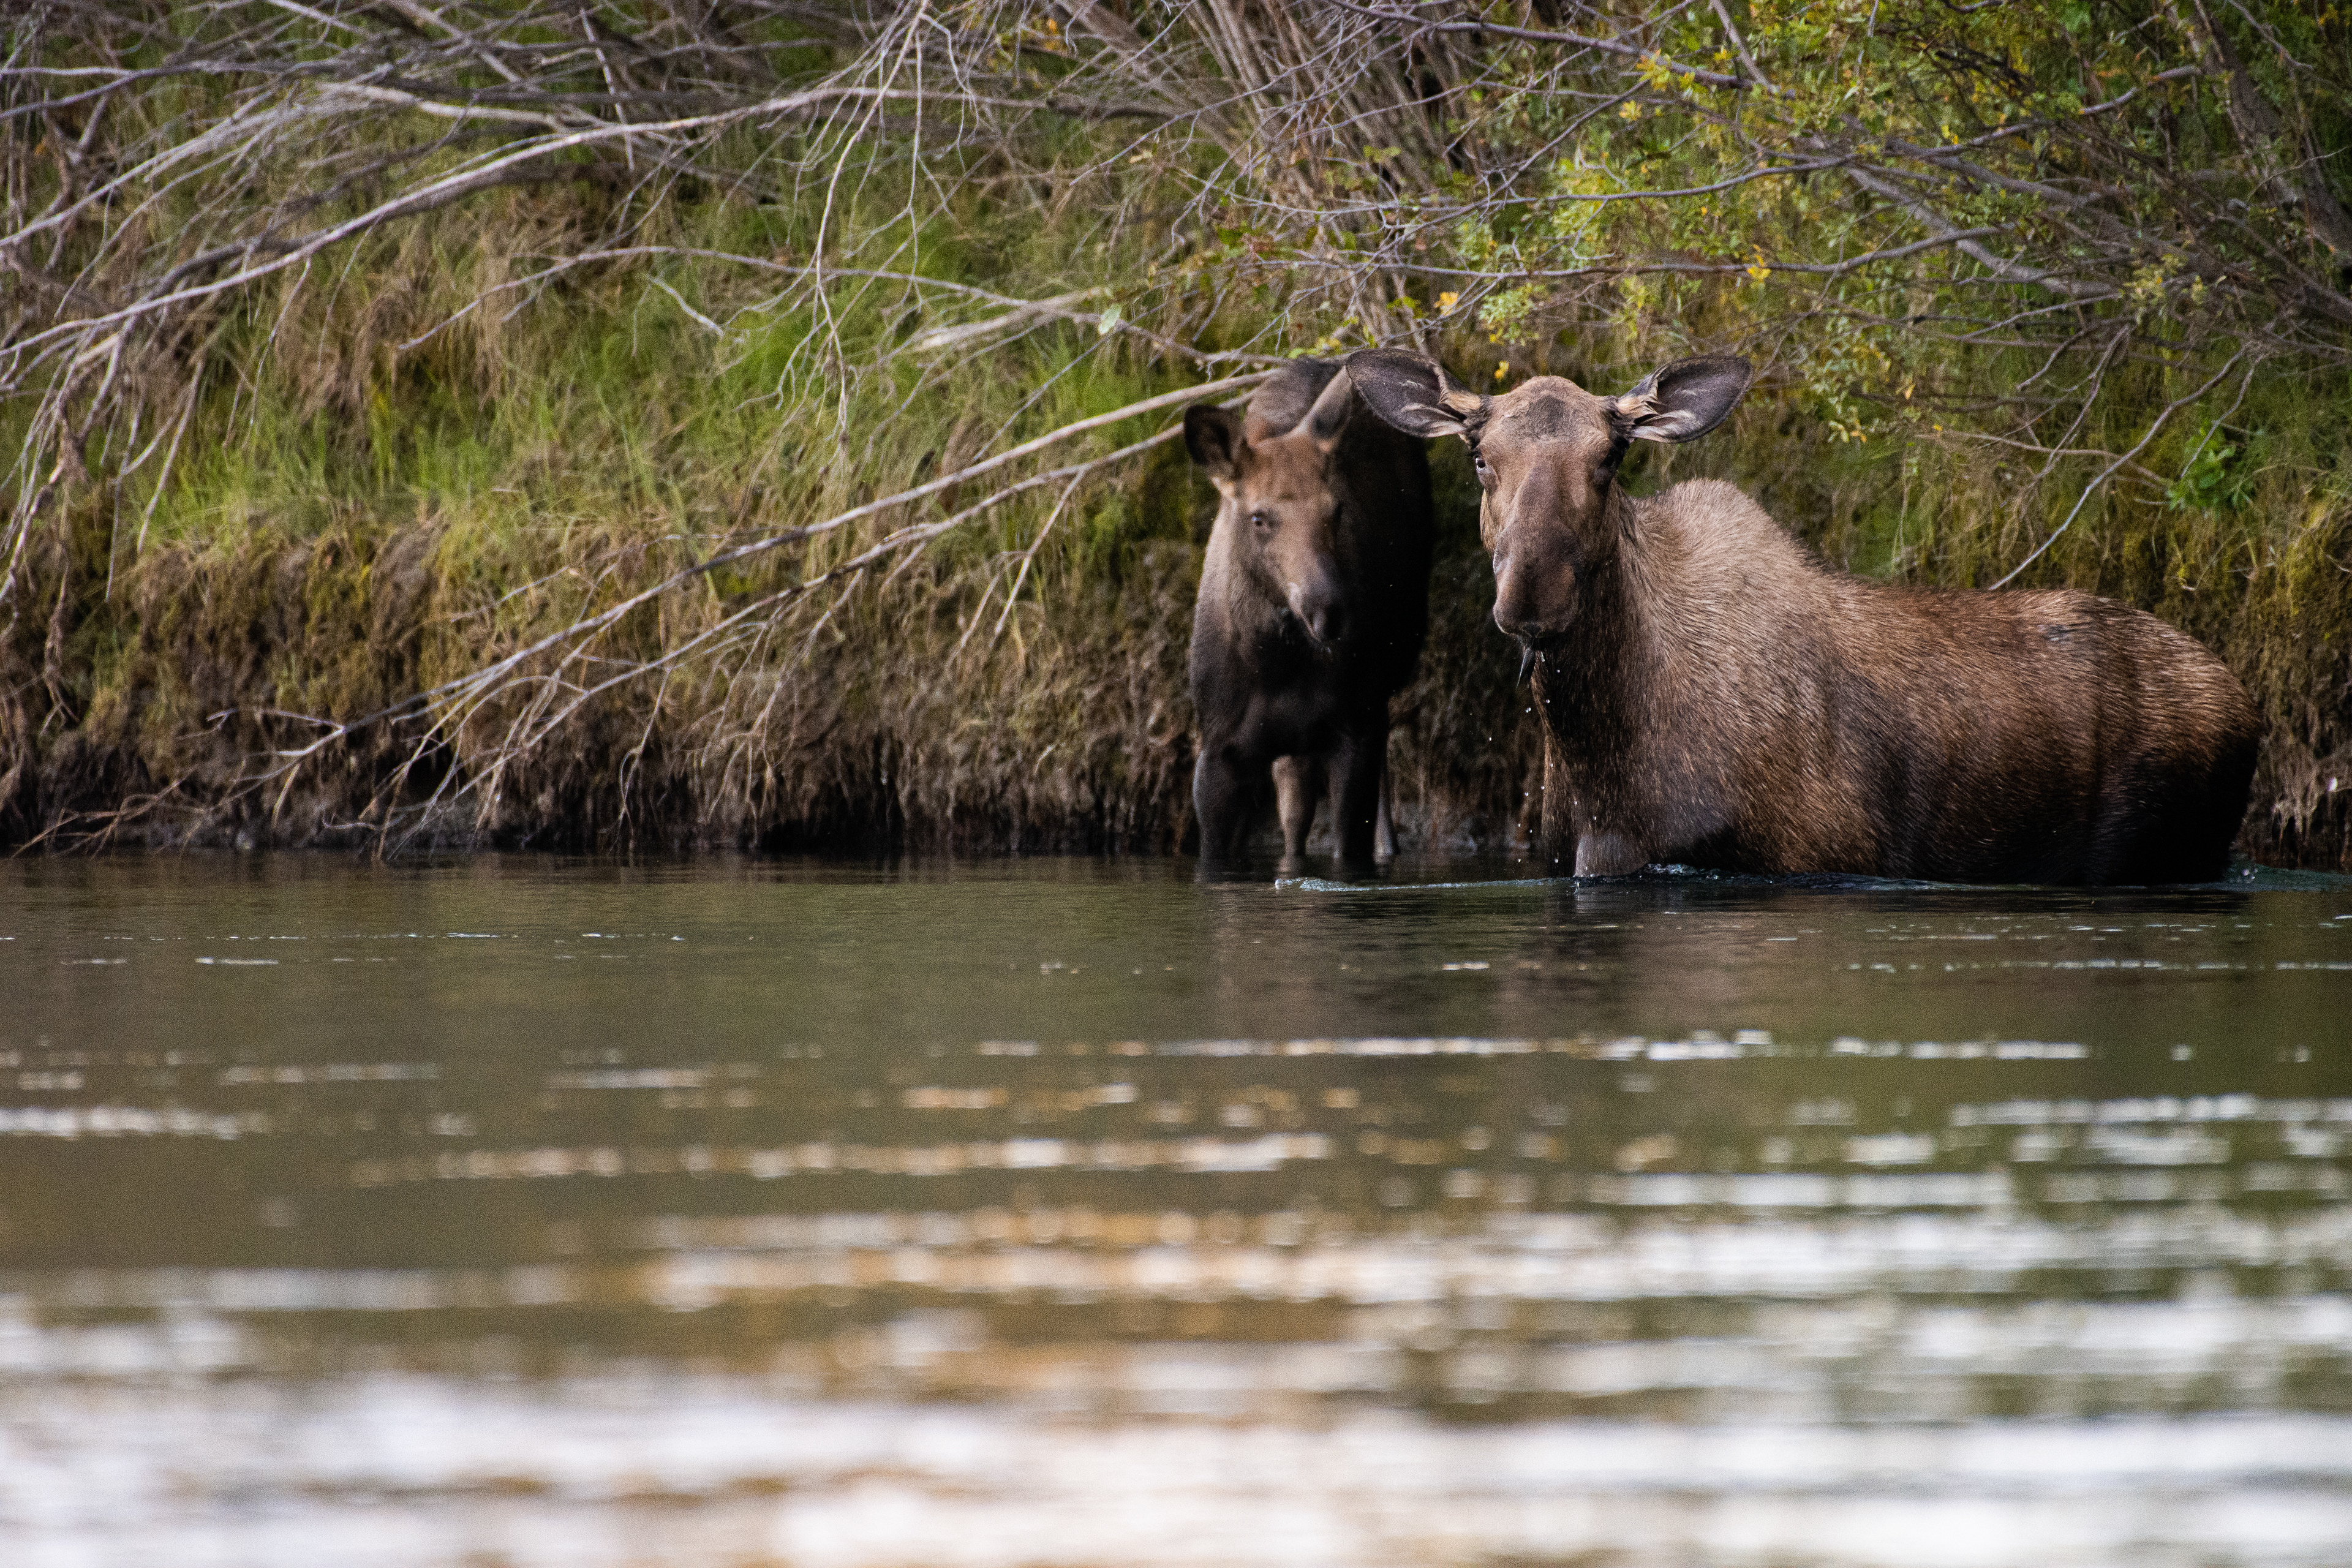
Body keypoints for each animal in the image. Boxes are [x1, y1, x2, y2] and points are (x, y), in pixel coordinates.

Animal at [1344, 347, 2261, 884]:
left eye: (1612, 456)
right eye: (1477, 454)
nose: (1534, 593)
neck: (1600, 757)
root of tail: (2246, 698)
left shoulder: (1817, 857)